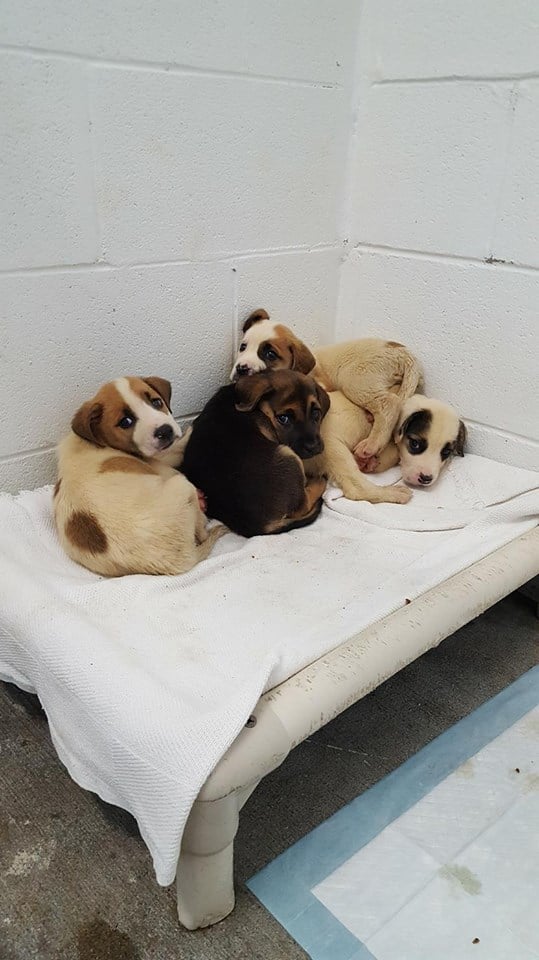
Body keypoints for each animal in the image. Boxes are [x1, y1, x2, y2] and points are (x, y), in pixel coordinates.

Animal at [54, 376, 224, 576]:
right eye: (126, 421)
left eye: (156, 402)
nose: (165, 431)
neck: (94, 440)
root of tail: (176, 562)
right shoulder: (162, 460)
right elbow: (181, 445)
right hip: (182, 485)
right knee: (202, 531)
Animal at [181, 370, 330, 537]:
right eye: (283, 418)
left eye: (316, 413)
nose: (313, 447)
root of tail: (258, 527)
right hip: (288, 455)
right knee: (303, 505)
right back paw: (317, 480)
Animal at [230, 309, 422, 468]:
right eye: (242, 347)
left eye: (270, 354)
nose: (241, 369)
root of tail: (402, 352)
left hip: (354, 379)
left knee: (390, 403)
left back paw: (371, 445)